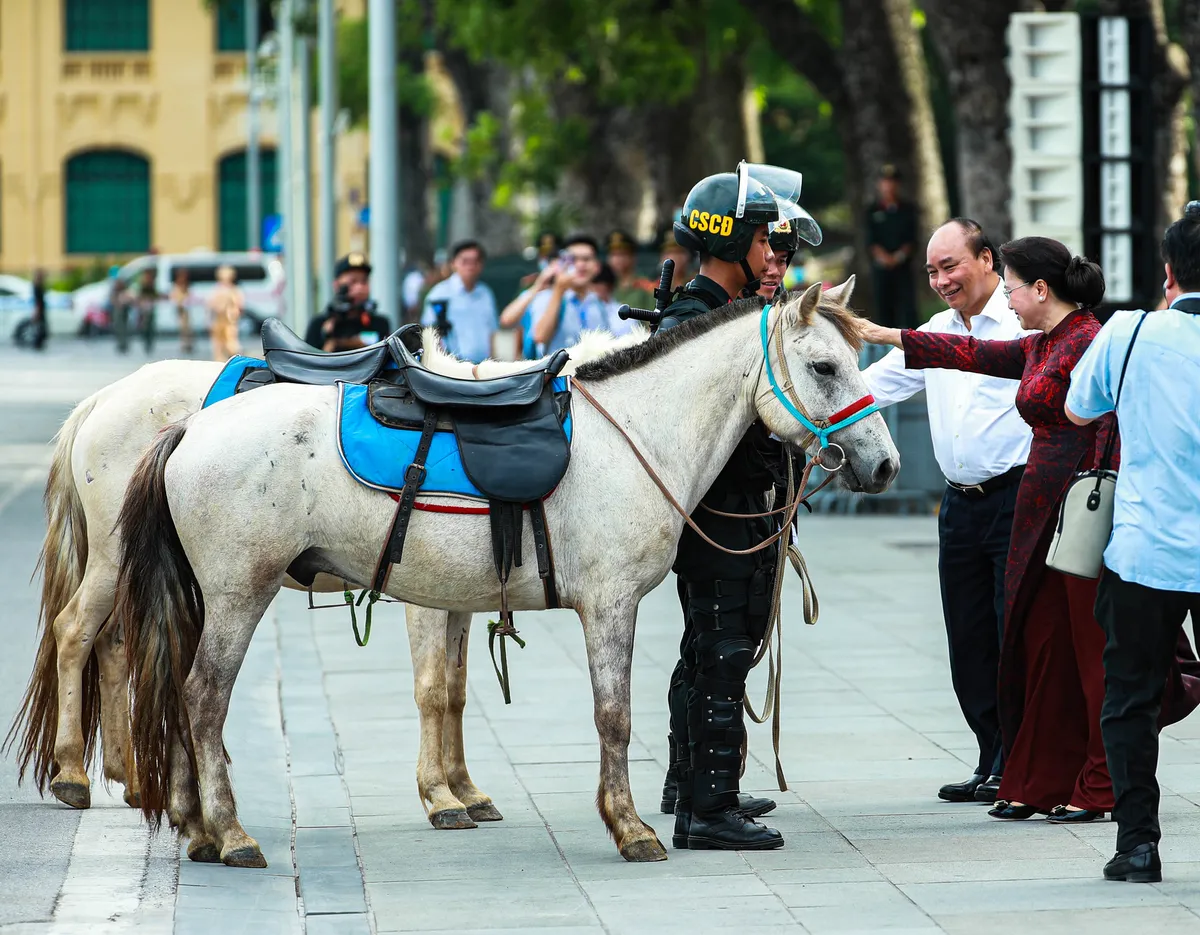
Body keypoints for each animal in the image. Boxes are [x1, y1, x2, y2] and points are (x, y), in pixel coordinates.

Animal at [4, 326, 643, 835]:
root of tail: (103, 399)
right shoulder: (428, 599)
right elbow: (434, 690)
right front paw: (441, 797)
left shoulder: (460, 594)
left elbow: (457, 690)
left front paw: (465, 789)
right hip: (117, 560)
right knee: (76, 633)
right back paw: (73, 772)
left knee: (113, 644)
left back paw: (131, 775)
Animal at [117, 282, 902, 868]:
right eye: (825, 367)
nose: (886, 464)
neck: (635, 432)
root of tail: (188, 428)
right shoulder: (609, 605)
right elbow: (614, 716)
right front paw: (630, 827)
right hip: (237, 593)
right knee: (203, 697)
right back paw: (232, 834)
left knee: (184, 694)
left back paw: (200, 830)